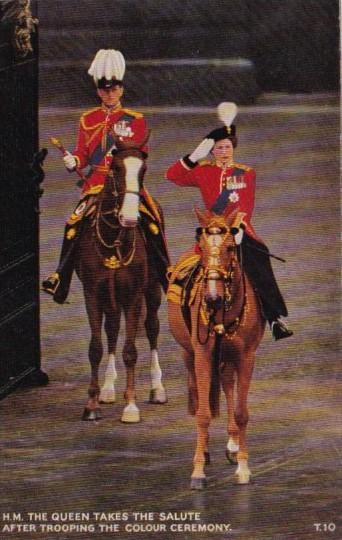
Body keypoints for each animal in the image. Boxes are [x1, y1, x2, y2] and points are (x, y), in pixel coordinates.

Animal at [77, 137, 168, 424]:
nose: (129, 218)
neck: (113, 240)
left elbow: (130, 351)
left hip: (151, 292)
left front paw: (130, 406)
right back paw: (107, 389)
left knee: (151, 329)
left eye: (143, 170)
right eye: (115, 168)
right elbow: (96, 347)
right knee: (112, 331)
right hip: (111, 298)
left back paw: (157, 389)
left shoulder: (134, 296)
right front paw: (92, 403)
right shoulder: (93, 295)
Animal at [168, 209, 264, 488]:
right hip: (188, 353)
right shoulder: (202, 355)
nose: (211, 297)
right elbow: (203, 413)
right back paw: (208, 450)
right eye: (202, 247)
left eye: (231, 248)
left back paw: (232, 445)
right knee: (200, 393)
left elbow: (241, 412)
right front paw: (198, 471)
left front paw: (243, 467)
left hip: (228, 358)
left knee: (227, 384)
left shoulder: (246, 357)